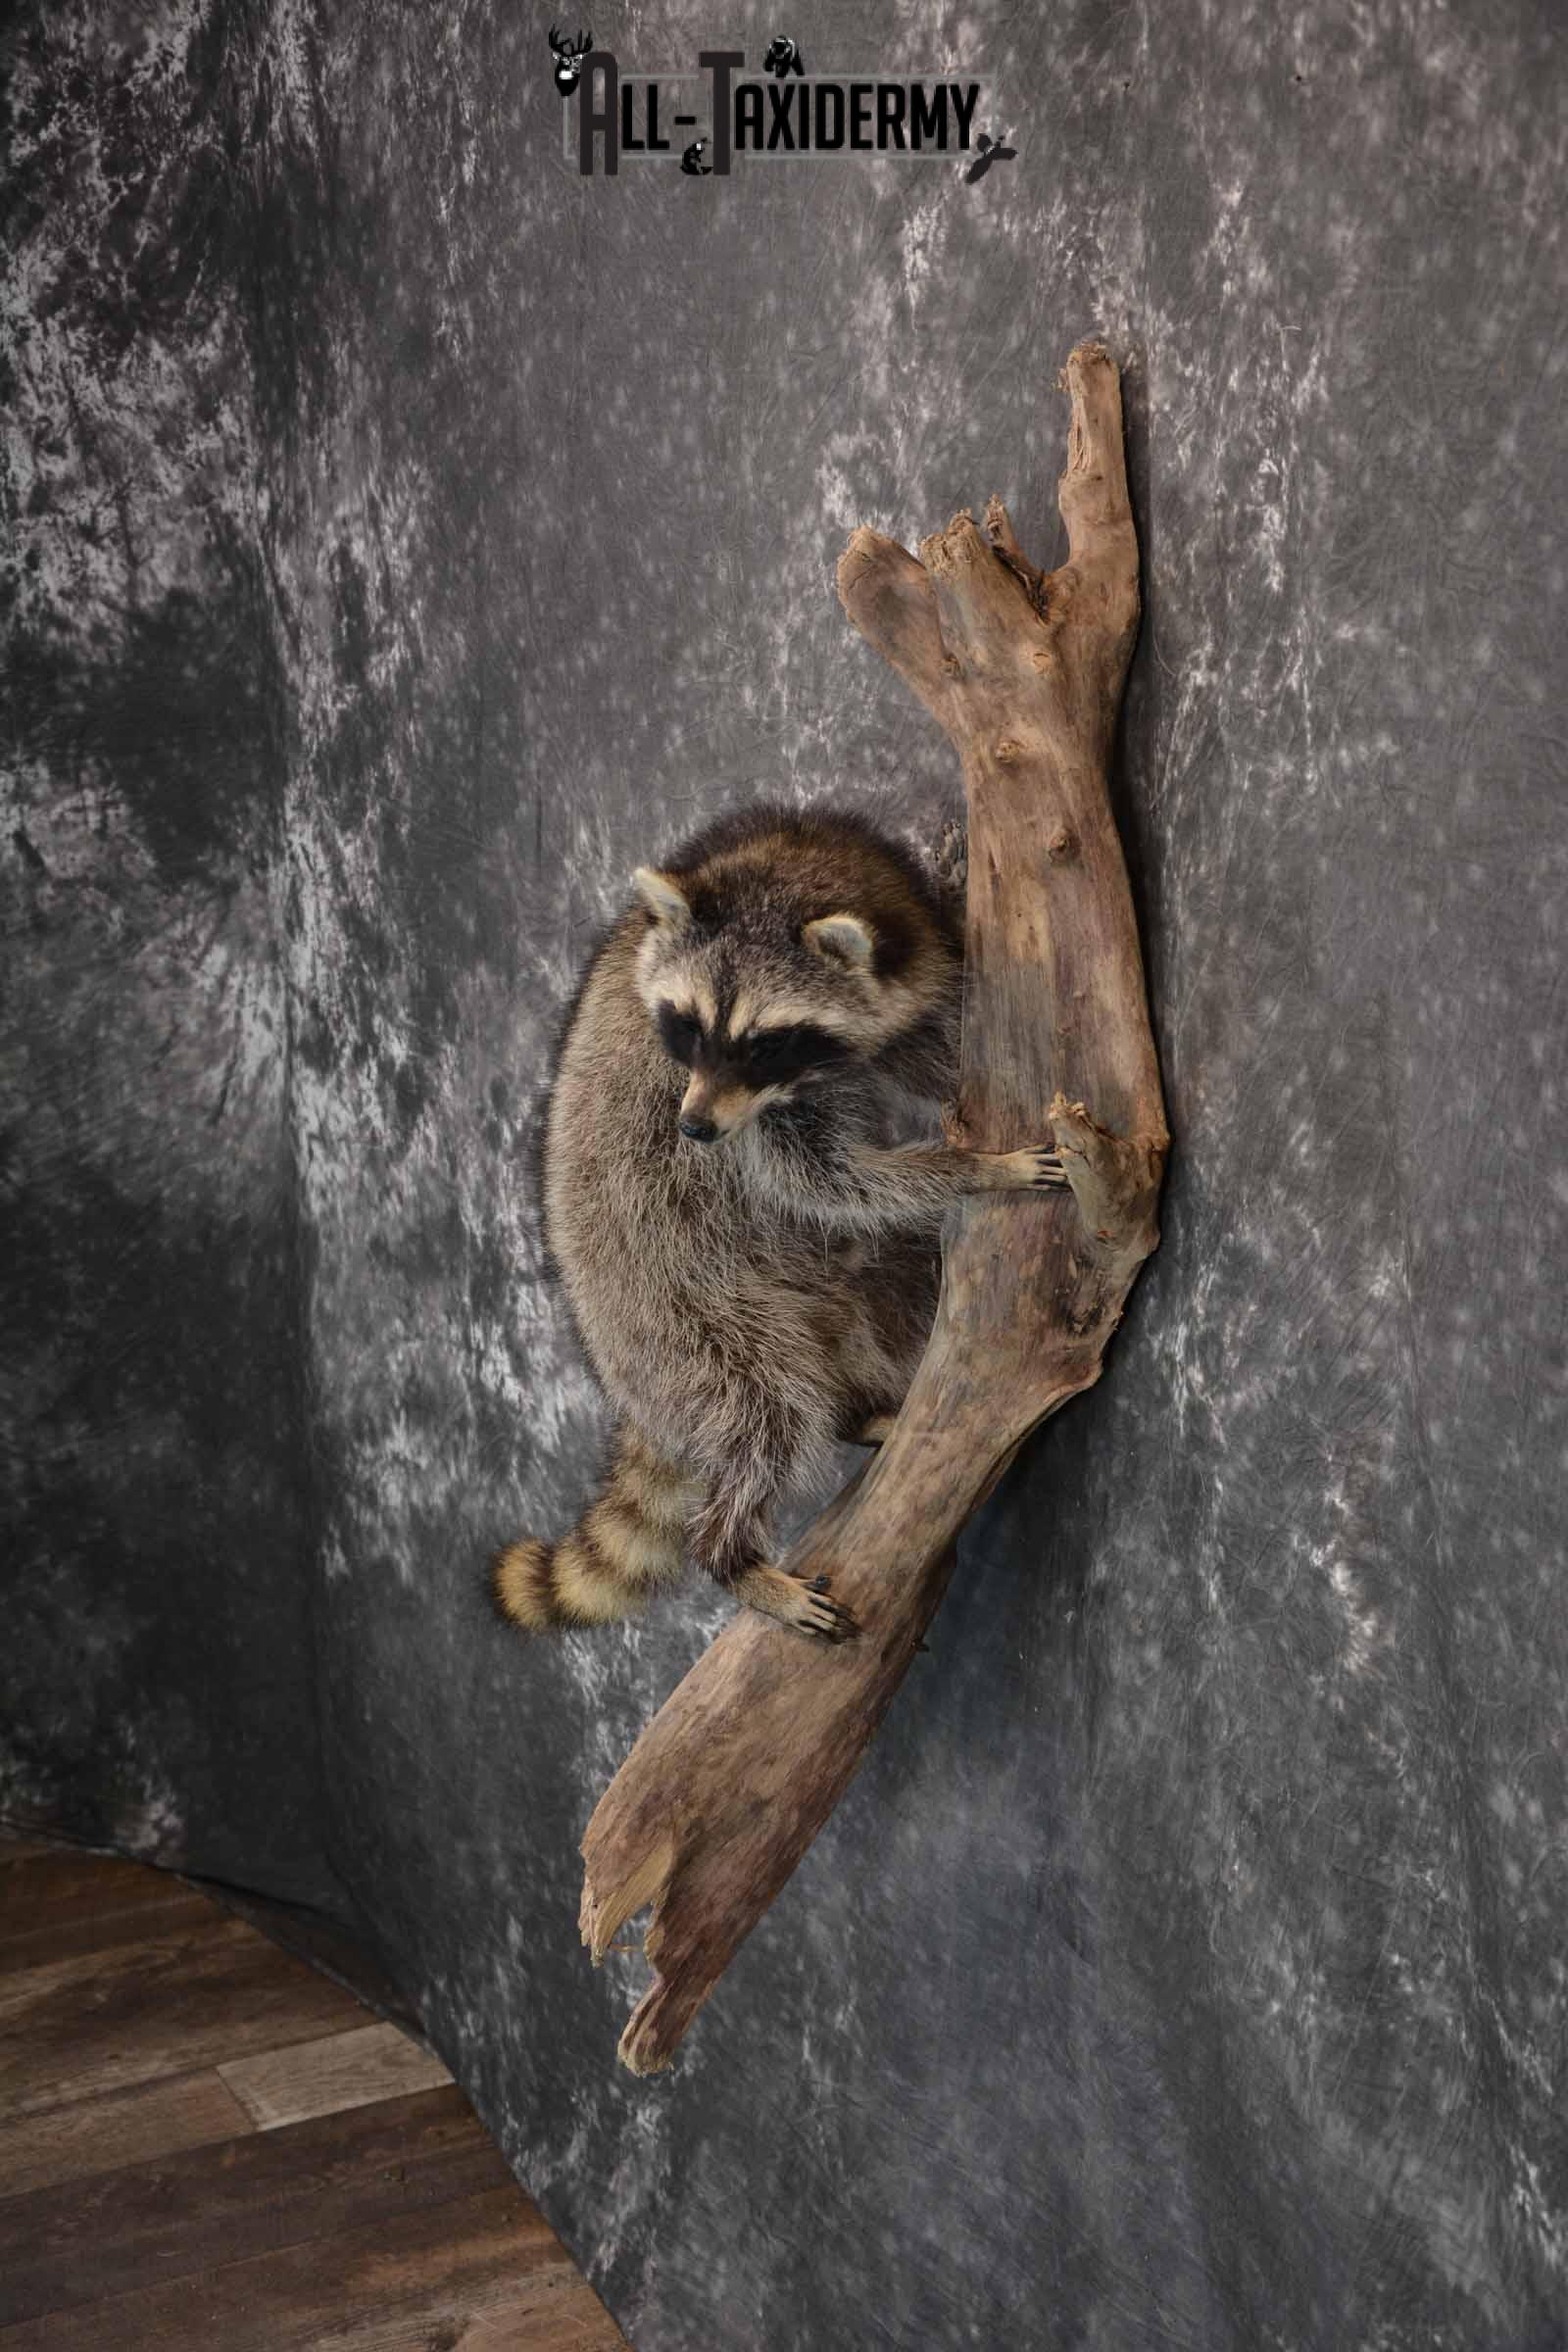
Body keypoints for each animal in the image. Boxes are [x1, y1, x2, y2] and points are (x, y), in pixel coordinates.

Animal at [493, 805, 1065, 1643]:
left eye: (766, 1042)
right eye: (689, 1027)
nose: (693, 1129)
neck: (782, 865)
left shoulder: (890, 979)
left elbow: (931, 1056)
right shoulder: (747, 1116)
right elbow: (818, 1177)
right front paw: (978, 1169)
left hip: (821, 1281)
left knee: (897, 1275)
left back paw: (860, 1413)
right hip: (678, 1316)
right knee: (765, 1411)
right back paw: (730, 1553)